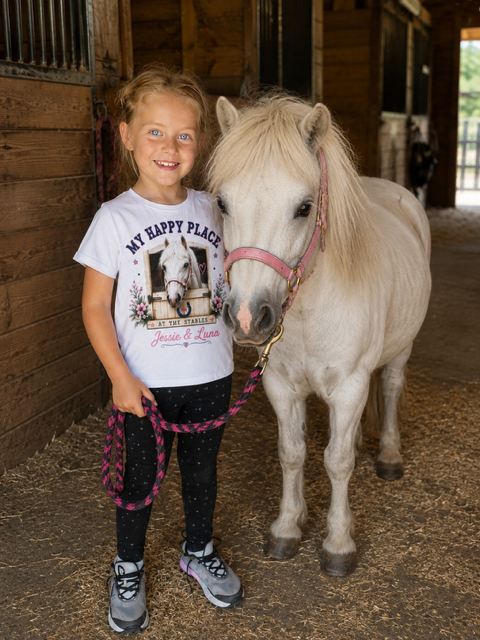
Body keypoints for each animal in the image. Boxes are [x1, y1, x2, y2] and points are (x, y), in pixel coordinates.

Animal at [209, 95, 431, 577]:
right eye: (222, 203)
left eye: (304, 207)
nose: (248, 317)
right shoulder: (280, 385)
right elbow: (292, 451)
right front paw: (288, 527)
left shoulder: (348, 388)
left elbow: (337, 461)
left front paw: (338, 542)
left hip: (401, 350)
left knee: (391, 386)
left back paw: (388, 456)